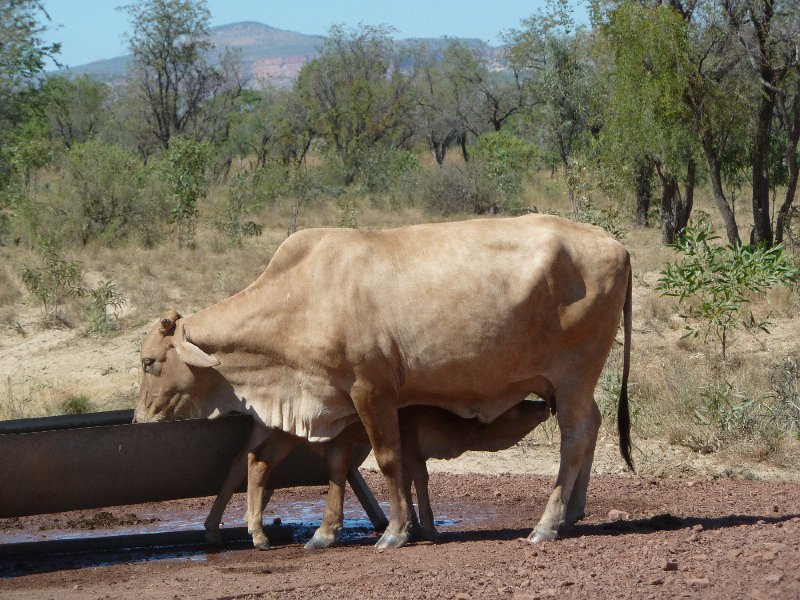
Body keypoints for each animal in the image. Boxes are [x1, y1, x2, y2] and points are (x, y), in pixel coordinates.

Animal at [139, 214, 636, 548]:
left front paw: (396, 532)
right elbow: (337, 465)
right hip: (563, 384)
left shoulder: (371, 391)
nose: (140, 421)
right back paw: (571, 514)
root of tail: (617, 245)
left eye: (147, 362)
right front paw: (326, 533)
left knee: (574, 438)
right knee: (591, 426)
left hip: (573, 376)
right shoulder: (339, 404)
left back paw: (547, 524)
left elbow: (389, 459)